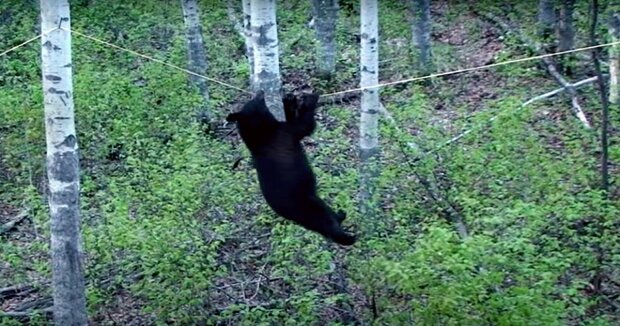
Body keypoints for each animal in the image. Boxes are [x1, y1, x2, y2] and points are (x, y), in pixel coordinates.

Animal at [225, 90, 356, 246]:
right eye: (257, 100)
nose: (260, 92)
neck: (260, 133)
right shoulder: (283, 133)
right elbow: (304, 126)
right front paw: (310, 99)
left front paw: (289, 100)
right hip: (305, 204)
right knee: (325, 220)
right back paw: (347, 236)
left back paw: (341, 215)